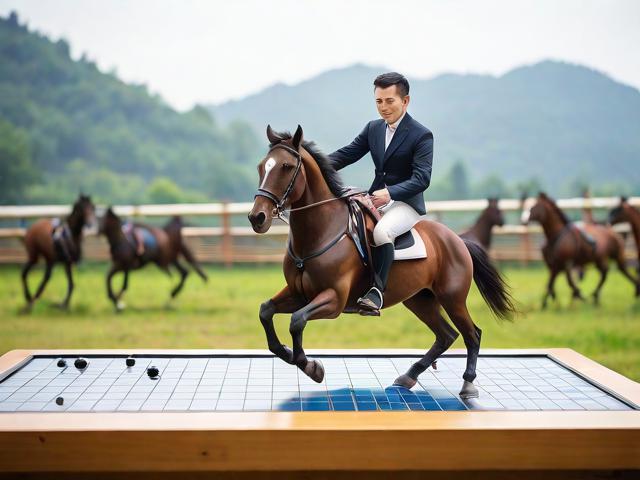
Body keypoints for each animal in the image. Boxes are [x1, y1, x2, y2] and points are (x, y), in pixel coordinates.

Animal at [248, 125, 516, 399]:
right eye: (261, 167)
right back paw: (409, 375)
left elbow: (297, 321)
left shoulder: (334, 299)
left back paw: (468, 384)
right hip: (419, 300)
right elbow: (265, 311)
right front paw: (290, 353)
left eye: (286, 167)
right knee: (446, 335)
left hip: (452, 299)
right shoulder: (298, 292)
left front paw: (311, 366)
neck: (320, 232)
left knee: (472, 334)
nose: (257, 217)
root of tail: (457, 240)